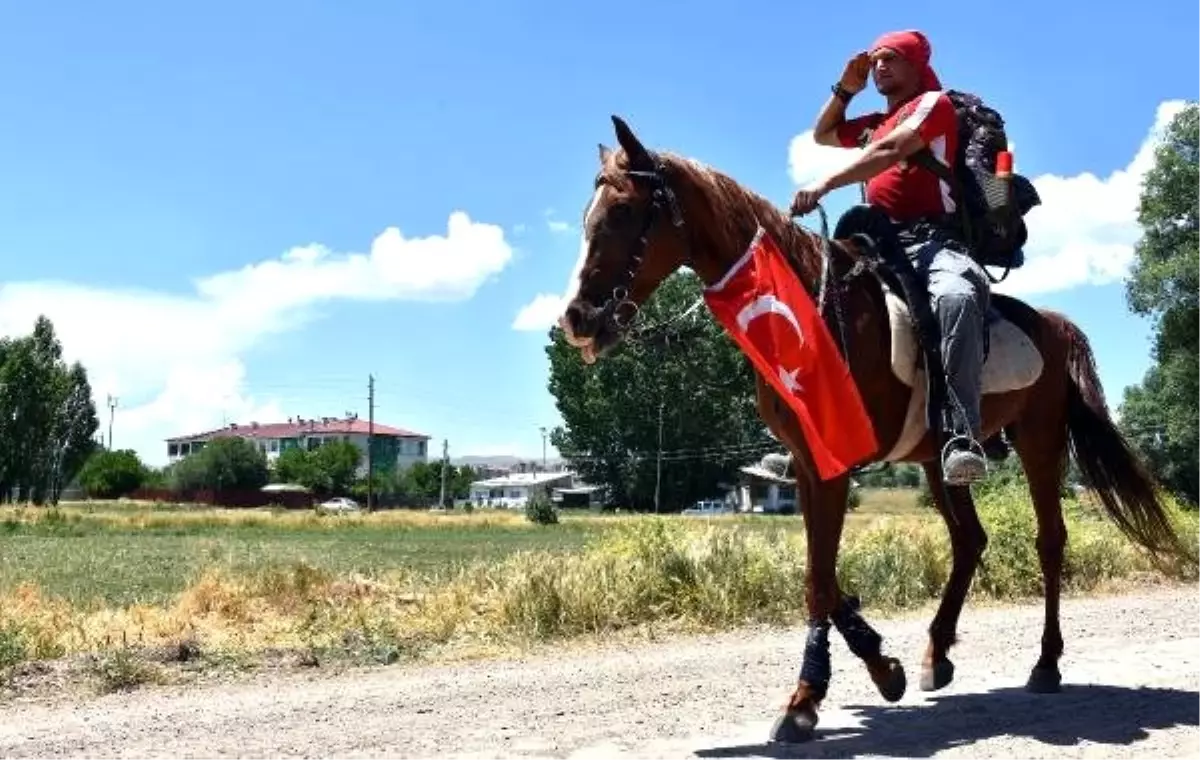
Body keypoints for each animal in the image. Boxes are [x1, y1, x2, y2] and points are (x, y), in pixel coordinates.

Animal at [556, 115, 1195, 744]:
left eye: (623, 211)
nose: (576, 318)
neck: (811, 311)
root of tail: (1055, 325)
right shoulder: (809, 463)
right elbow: (821, 572)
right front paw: (881, 668)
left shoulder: (835, 462)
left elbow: (819, 577)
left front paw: (806, 698)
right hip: (941, 458)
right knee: (969, 539)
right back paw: (937, 654)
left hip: (1039, 444)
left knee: (1049, 541)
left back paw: (1045, 663)